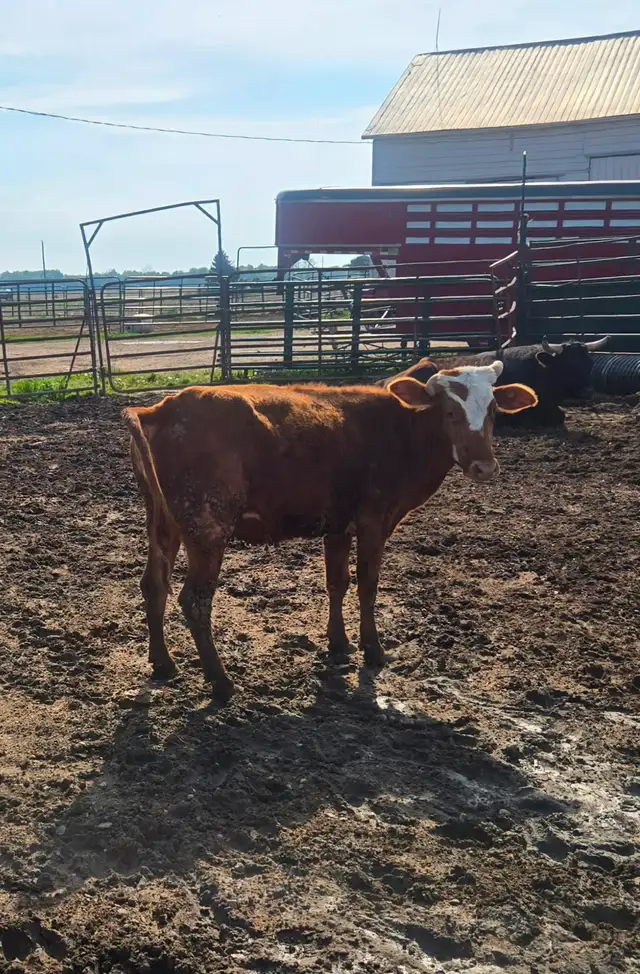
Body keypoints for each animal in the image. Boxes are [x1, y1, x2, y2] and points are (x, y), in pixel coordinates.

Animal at [123, 364, 537, 701]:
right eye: (450, 411)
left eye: (494, 412)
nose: (484, 467)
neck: (401, 430)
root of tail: (160, 409)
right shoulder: (374, 521)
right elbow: (367, 585)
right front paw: (373, 649)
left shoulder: (337, 526)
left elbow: (337, 582)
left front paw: (339, 642)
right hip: (208, 526)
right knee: (195, 600)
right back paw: (221, 682)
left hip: (163, 522)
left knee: (154, 584)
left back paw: (163, 662)